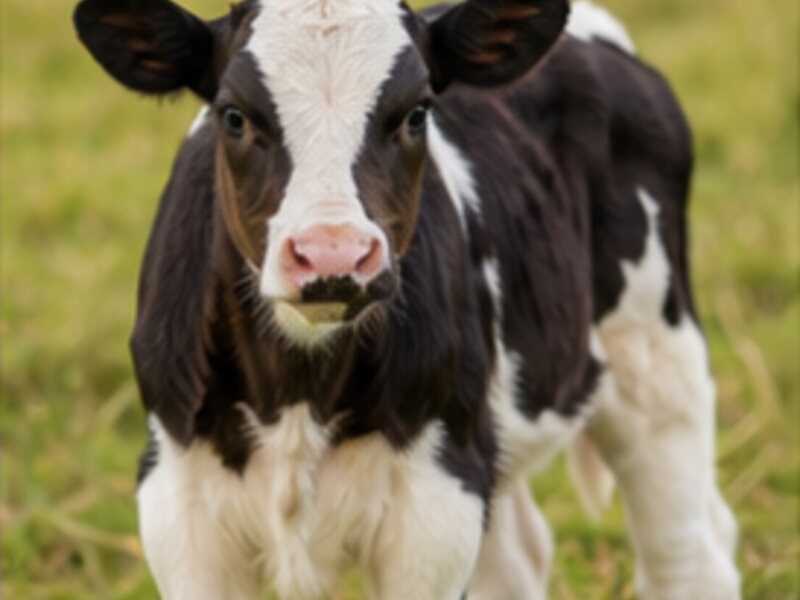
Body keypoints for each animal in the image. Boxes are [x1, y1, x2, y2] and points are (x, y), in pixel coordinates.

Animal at [73, 0, 741, 598]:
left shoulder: (437, 504)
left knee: (690, 560)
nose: (333, 255)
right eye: (233, 116)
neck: (298, 391)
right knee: (521, 558)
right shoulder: (177, 497)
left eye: (416, 114)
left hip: (658, 359)